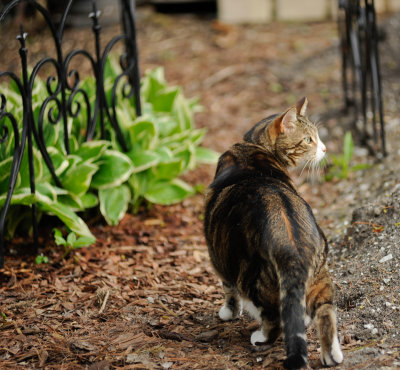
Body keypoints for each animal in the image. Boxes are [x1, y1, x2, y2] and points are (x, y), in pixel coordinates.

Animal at [205, 97, 342, 368]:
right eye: (308, 139)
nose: (324, 149)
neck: (253, 147)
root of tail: (292, 247)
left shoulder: (218, 258)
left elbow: (228, 292)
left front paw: (227, 313)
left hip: (251, 280)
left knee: (274, 320)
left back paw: (259, 338)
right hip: (321, 276)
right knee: (325, 311)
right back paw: (331, 355)